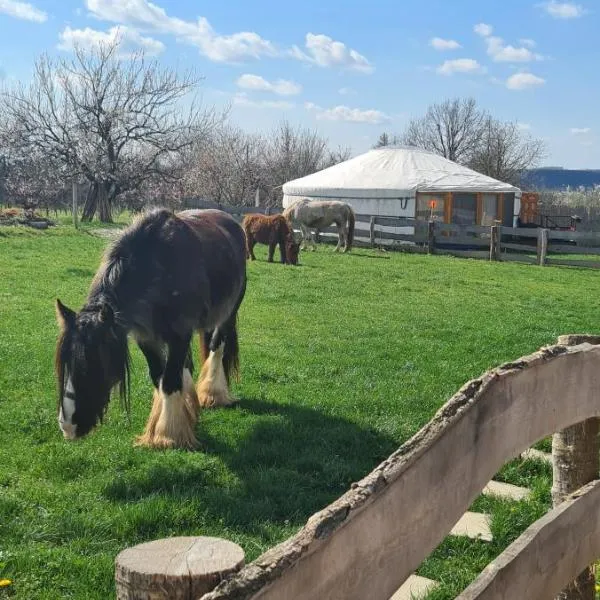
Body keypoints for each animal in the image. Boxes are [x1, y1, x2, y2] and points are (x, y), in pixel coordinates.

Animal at [53, 209, 246, 448]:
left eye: (93, 363)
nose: (68, 424)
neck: (158, 267)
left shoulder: (180, 334)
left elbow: (170, 381)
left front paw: (168, 436)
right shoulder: (145, 338)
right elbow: (159, 377)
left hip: (228, 313)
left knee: (217, 346)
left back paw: (213, 394)